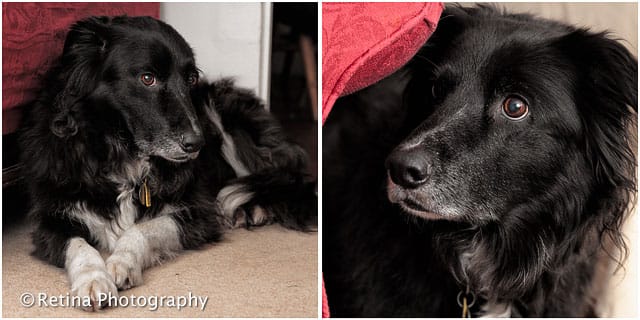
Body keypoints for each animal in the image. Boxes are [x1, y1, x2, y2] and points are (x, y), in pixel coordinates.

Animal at [20, 16, 318, 312]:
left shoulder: (197, 214)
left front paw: (121, 263)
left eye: (191, 78)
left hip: (225, 117)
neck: (123, 151)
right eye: (147, 78)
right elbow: (79, 246)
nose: (198, 144)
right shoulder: (52, 219)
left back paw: (253, 208)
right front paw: (93, 280)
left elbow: (142, 229)